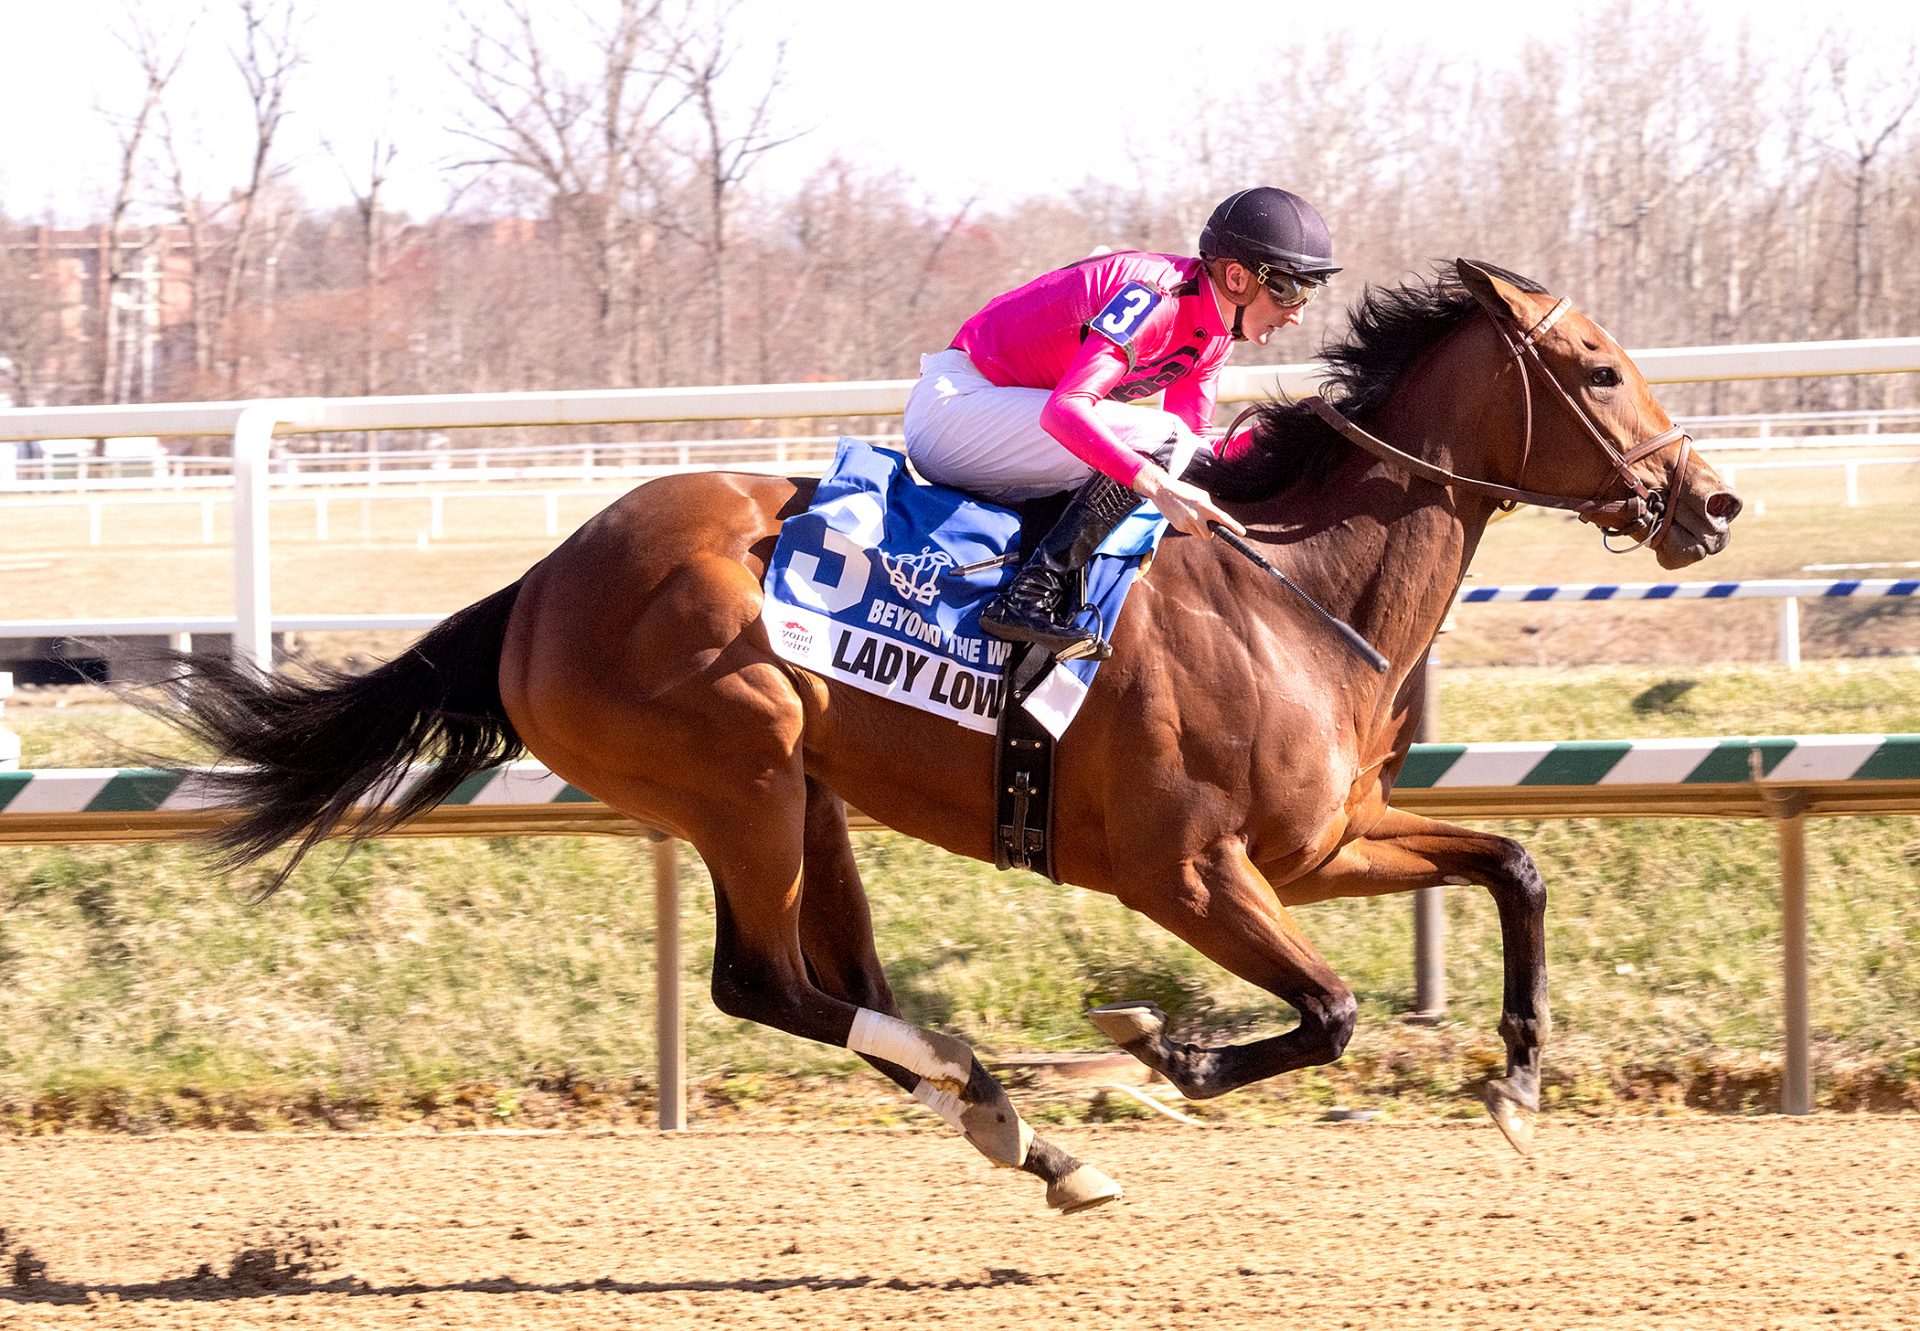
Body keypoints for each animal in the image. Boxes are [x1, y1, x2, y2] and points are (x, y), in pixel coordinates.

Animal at [145, 259, 1743, 1213]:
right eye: (1600, 368)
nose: (1711, 502)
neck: (1297, 592)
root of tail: (539, 580)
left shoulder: (1323, 842)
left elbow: (1515, 864)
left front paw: (1519, 1087)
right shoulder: (1188, 874)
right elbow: (1332, 1011)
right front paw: (1162, 1045)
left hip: (804, 795)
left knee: (827, 978)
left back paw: (1014, 1123)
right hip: (740, 773)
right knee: (758, 982)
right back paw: (1000, 1097)